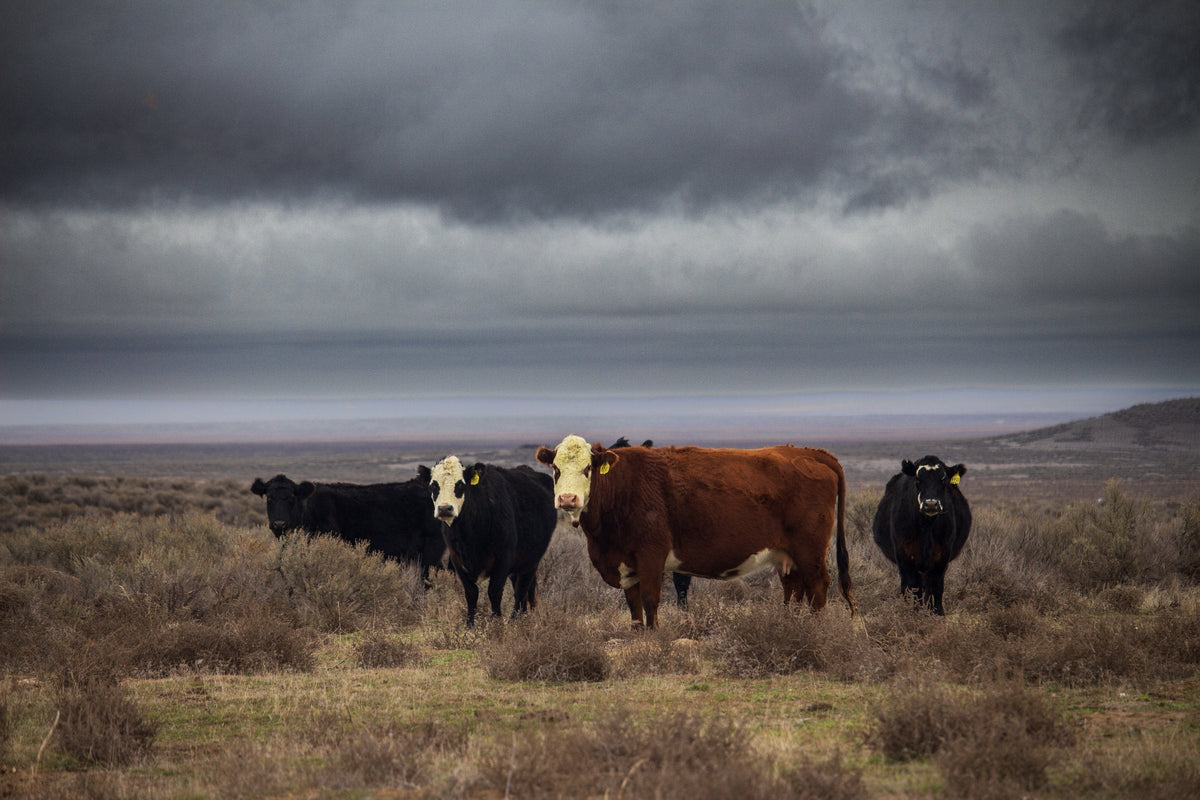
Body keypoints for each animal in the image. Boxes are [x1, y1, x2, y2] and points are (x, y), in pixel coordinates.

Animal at [418, 456, 557, 627]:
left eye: (460, 484)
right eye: (433, 486)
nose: (445, 509)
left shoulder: (503, 559)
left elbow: (494, 591)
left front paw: (497, 623)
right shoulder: (457, 560)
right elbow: (471, 593)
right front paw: (470, 625)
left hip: (531, 560)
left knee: (522, 589)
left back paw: (515, 619)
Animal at [535, 435, 855, 629]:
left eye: (588, 468)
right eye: (556, 468)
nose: (567, 499)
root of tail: (809, 453)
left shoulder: (651, 555)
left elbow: (650, 600)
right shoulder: (627, 563)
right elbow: (634, 607)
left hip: (810, 551)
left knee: (818, 586)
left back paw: (816, 629)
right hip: (788, 555)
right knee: (795, 588)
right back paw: (791, 625)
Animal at [871, 456, 971, 615]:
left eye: (943, 480)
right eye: (918, 480)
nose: (931, 504)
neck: (926, 526)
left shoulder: (942, 555)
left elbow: (935, 586)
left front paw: (936, 613)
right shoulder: (904, 555)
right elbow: (912, 586)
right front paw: (912, 612)